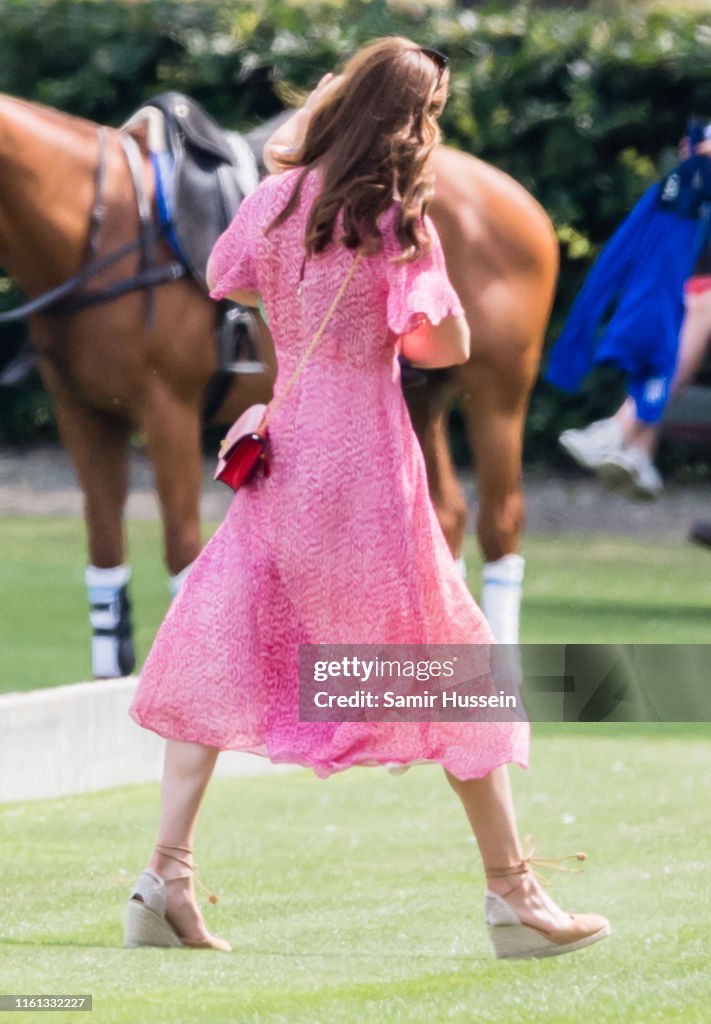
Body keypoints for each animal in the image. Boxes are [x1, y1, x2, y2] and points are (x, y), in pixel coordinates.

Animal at [0, 94, 557, 671]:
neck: (102, 230)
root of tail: (522, 200)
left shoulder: (168, 409)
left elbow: (181, 549)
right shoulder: (83, 415)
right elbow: (107, 564)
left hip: (498, 391)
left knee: (500, 523)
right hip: (422, 396)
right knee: (443, 515)